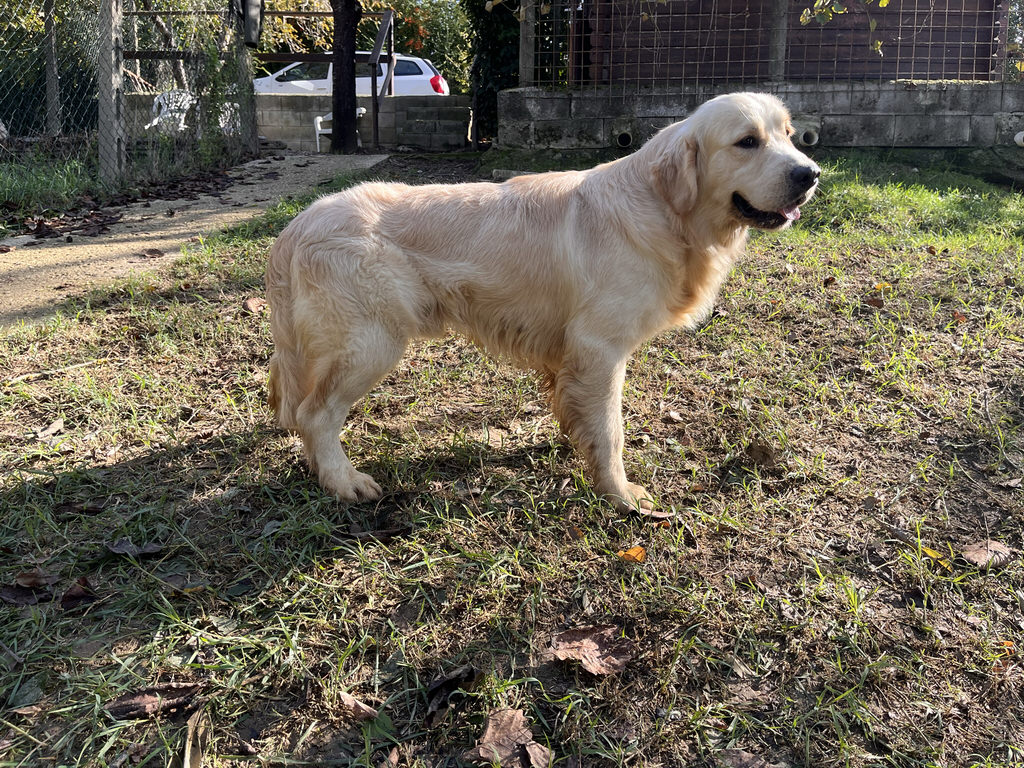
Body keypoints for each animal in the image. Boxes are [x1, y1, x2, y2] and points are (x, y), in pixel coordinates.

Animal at [266, 92, 819, 511]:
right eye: (747, 142)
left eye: (789, 134)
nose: (810, 174)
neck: (664, 212)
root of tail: (296, 227)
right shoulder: (600, 348)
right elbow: (612, 431)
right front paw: (621, 495)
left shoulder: (569, 355)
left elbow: (577, 413)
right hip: (372, 343)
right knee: (316, 415)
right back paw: (344, 480)